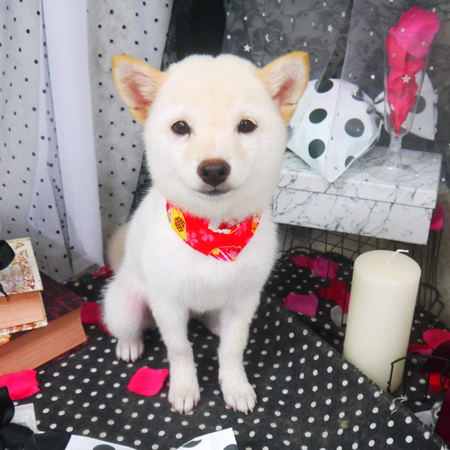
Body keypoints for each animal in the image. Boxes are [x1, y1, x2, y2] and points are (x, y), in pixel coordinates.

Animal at [102, 51, 309, 414]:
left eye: (246, 125)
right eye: (180, 127)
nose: (213, 169)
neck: (215, 233)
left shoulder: (244, 301)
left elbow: (234, 348)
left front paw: (236, 386)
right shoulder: (167, 302)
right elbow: (179, 349)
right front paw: (184, 388)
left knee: (209, 323)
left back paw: (213, 326)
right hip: (125, 306)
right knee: (130, 327)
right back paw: (130, 344)